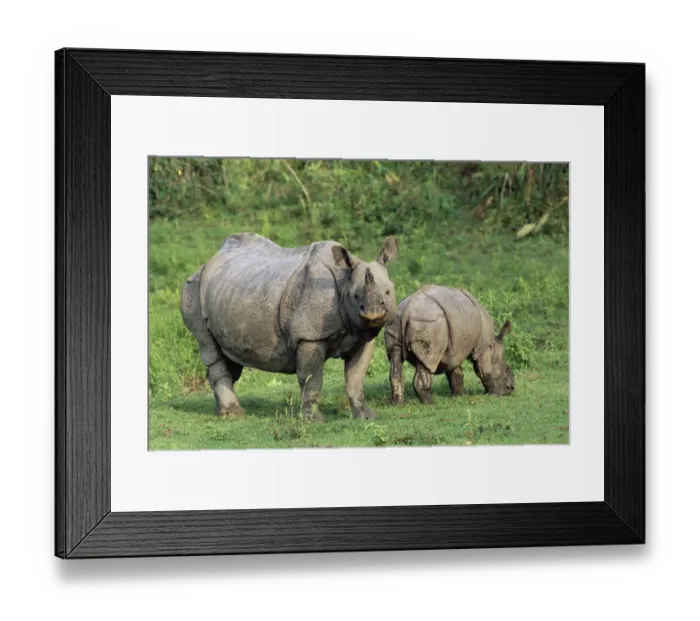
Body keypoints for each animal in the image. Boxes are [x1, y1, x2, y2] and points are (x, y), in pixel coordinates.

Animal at [180, 232, 399, 421]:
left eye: (388, 292)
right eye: (355, 296)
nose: (373, 314)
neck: (345, 278)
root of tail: (208, 262)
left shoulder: (361, 336)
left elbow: (355, 377)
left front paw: (366, 416)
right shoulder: (308, 336)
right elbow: (311, 378)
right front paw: (313, 419)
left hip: (231, 292)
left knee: (228, 357)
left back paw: (222, 412)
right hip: (192, 290)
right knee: (210, 349)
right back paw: (234, 413)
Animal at [384, 285, 515, 405]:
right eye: (507, 368)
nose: (511, 389)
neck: (493, 345)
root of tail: (407, 308)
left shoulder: (455, 351)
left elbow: (456, 373)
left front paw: (460, 396)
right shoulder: (483, 348)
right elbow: (485, 371)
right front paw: (496, 394)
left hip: (395, 321)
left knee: (395, 357)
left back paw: (397, 404)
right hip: (428, 323)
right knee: (427, 361)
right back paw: (431, 403)